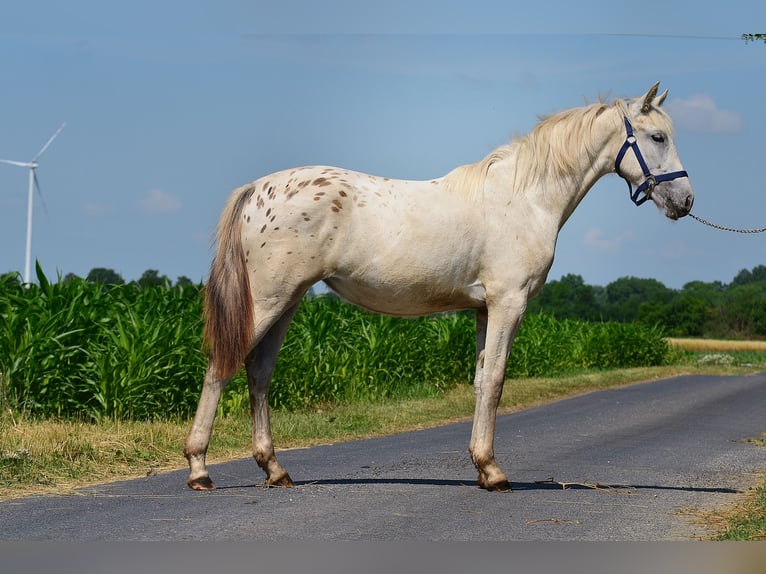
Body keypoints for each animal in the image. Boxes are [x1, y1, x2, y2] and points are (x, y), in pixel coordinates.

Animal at [184, 83, 696, 492]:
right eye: (657, 137)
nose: (686, 201)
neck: (526, 197)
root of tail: (257, 189)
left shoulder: (485, 308)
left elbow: (481, 381)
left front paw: (482, 468)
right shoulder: (508, 303)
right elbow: (497, 381)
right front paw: (494, 473)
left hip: (287, 302)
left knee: (259, 373)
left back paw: (275, 470)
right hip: (267, 301)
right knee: (221, 368)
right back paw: (199, 470)